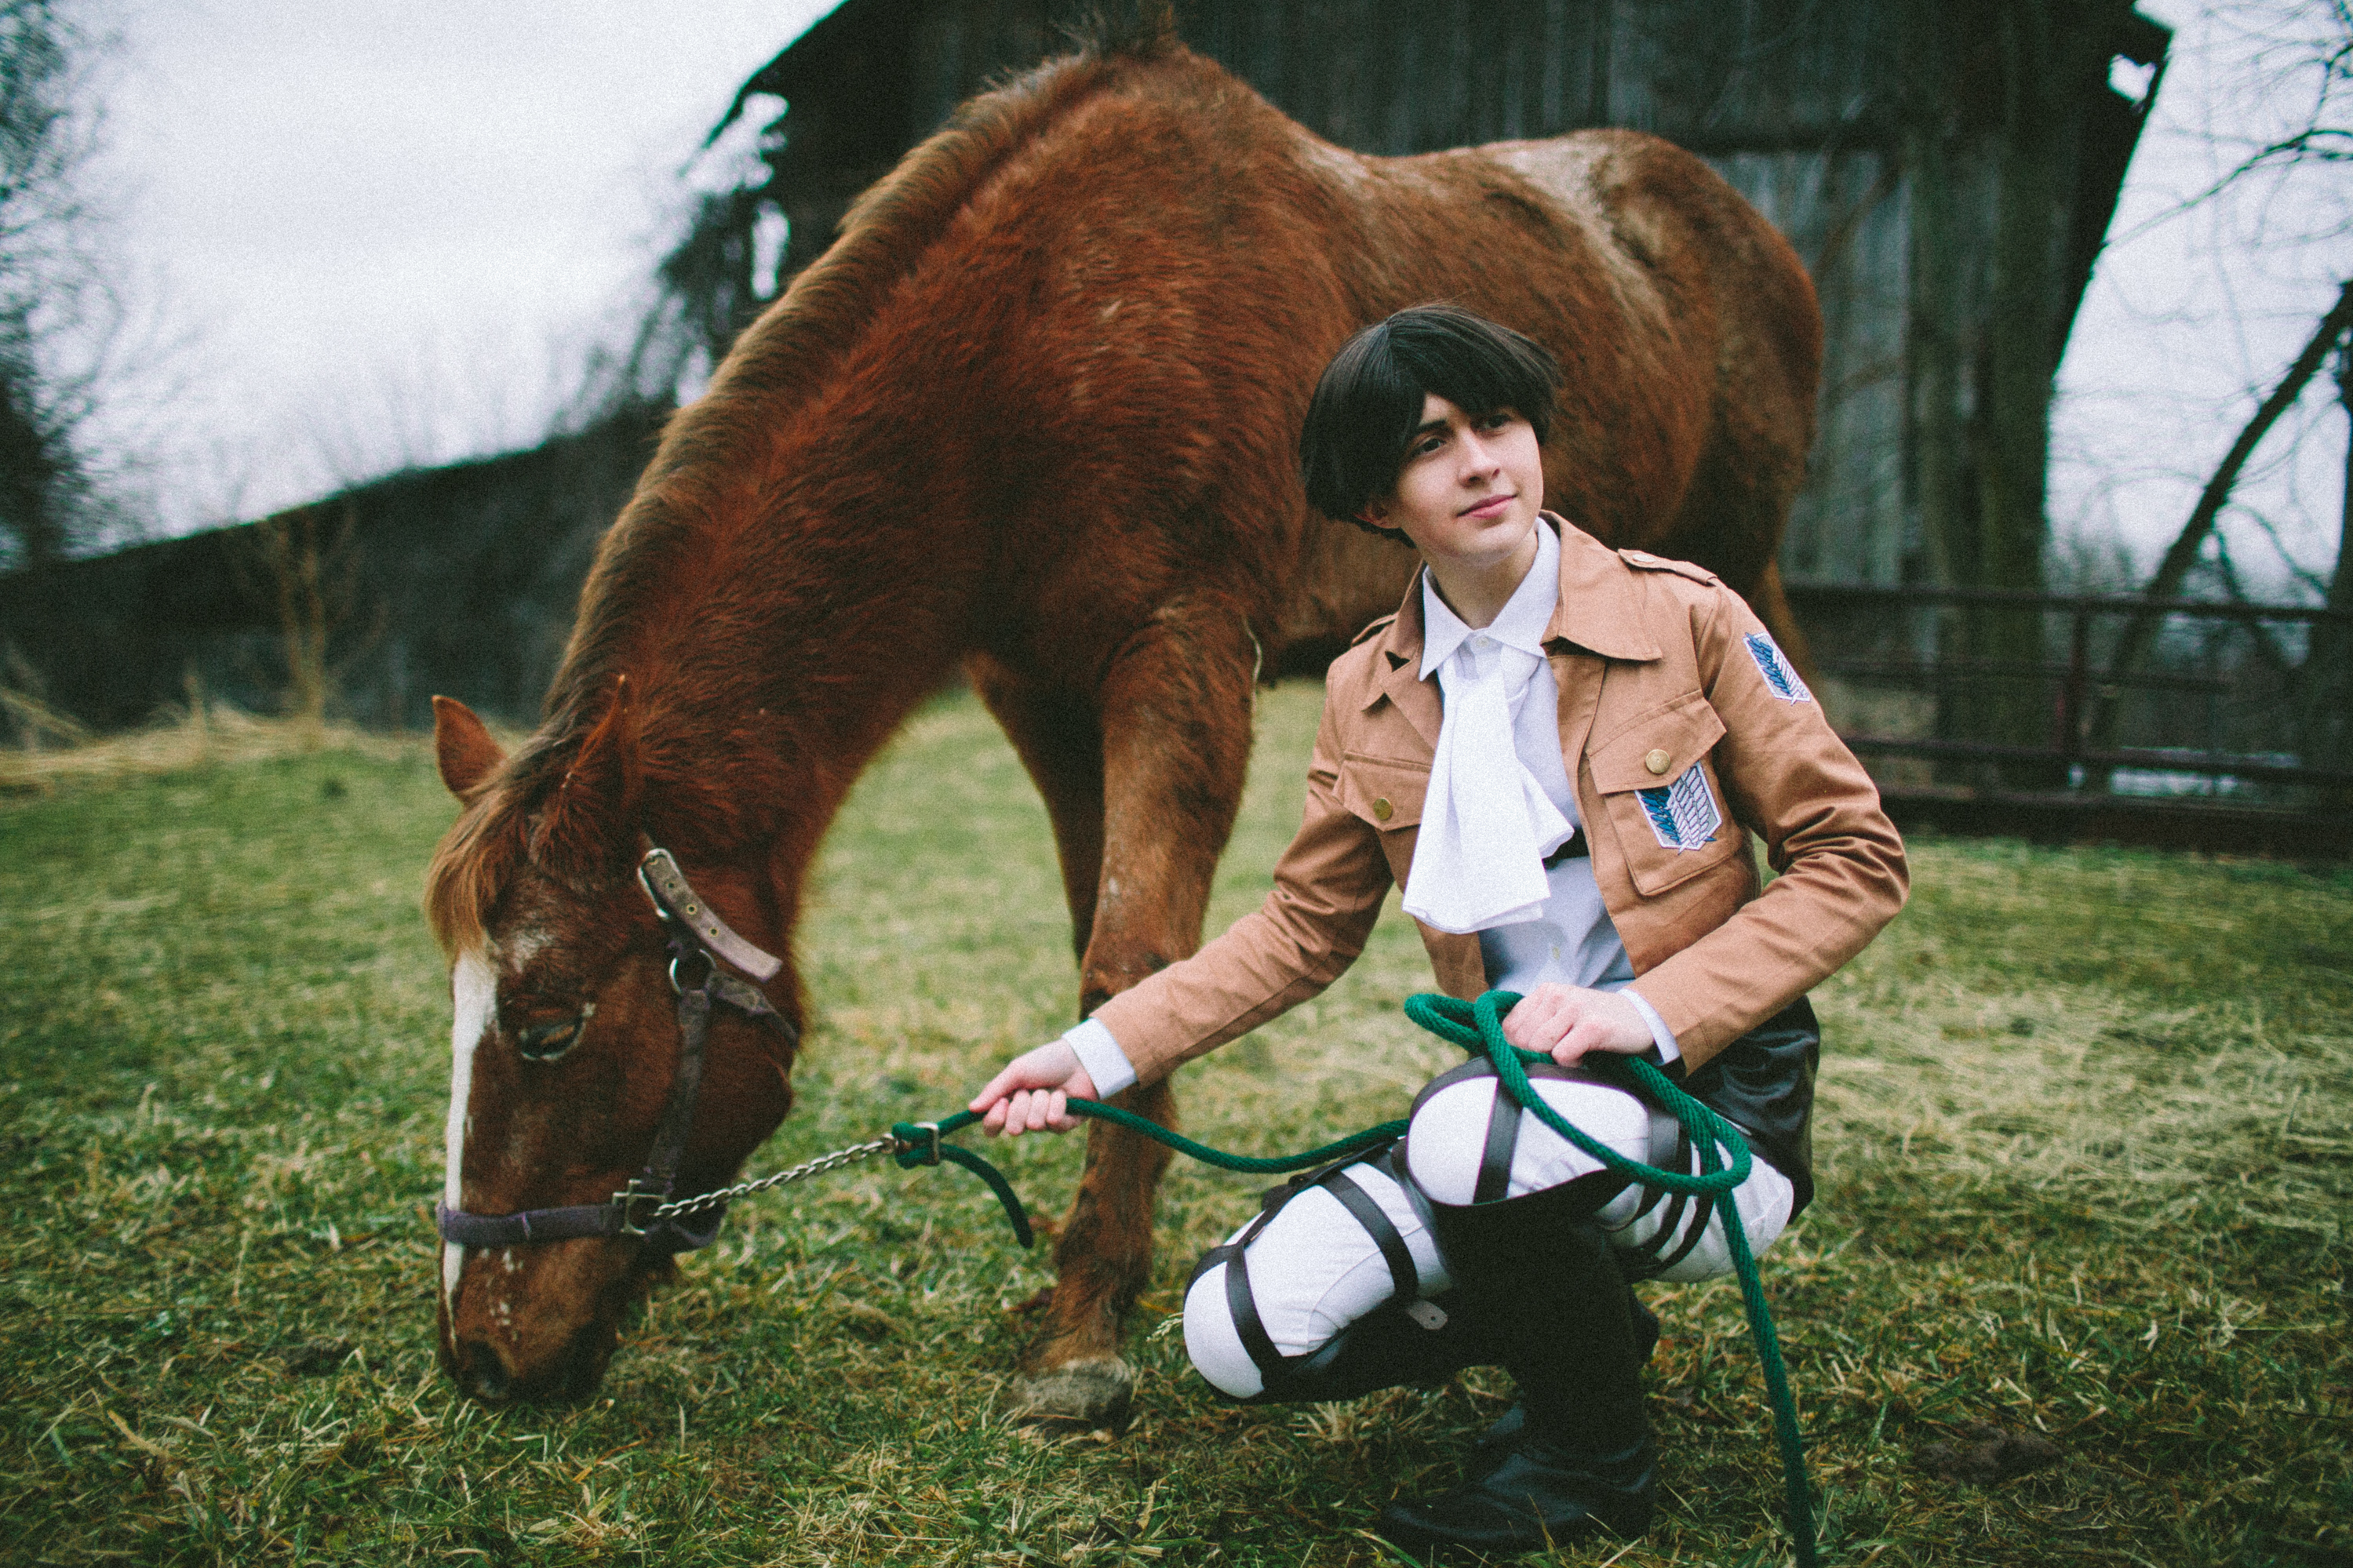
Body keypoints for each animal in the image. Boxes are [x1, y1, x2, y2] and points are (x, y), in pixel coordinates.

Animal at [425, 23, 1821, 1422]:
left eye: (547, 1024)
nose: (479, 1352)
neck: (1033, 344)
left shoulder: (1179, 652)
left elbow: (1133, 954)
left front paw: (1082, 1329)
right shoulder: (1038, 691)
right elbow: (1112, 961)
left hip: (1729, 556)